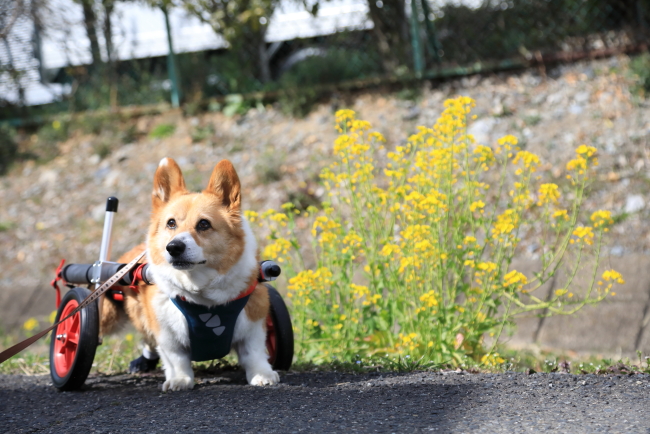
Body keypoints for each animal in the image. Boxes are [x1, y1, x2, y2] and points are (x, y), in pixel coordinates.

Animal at [100, 158, 278, 392]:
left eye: (204, 224)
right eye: (171, 223)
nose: (173, 247)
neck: (201, 292)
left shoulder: (253, 322)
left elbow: (254, 353)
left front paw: (262, 374)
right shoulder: (166, 333)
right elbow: (176, 359)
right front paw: (180, 380)